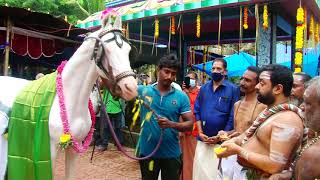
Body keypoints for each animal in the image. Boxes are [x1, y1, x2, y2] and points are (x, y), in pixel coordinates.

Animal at [0, 14, 138, 180]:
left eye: (128, 50)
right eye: (107, 50)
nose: (131, 87)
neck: (70, 100)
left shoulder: (74, 148)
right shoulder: (48, 154)